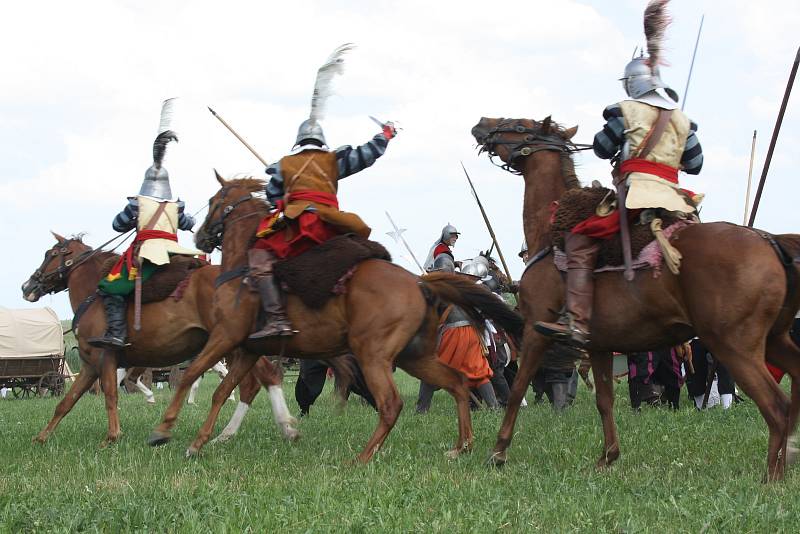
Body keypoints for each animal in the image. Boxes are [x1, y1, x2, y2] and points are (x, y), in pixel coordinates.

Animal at [25, 234, 302, 448]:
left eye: (51, 254)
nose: (27, 286)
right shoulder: (90, 365)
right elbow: (66, 402)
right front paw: (41, 437)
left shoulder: (104, 359)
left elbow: (110, 395)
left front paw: (112, 437)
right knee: (261, 380)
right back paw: (269, 430)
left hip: (230, 345)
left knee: (254, 381)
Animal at [148, 174, 524, 462]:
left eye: (215, 200)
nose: (200, 236)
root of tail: (418, 282)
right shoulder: (247, 350)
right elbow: (222, 391)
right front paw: (199, 443)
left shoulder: (225, 338)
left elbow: (190, 375)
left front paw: (164, 430)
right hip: (413, 356)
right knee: (457, 383)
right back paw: (461, 446)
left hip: (373, 355)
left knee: (392, 404)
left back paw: (363, 456)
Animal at [472, 116, 800, 482]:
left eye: (517, 125)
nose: (481, 125)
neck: (550, 234)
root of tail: (769, 241)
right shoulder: (598, 345)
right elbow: (605, 399)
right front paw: (608, 457)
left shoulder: (534, 333)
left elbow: (516, 390)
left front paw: (498, 452)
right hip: (773, 340)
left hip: (734, 346)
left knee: (776, 406)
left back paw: (772, 477)